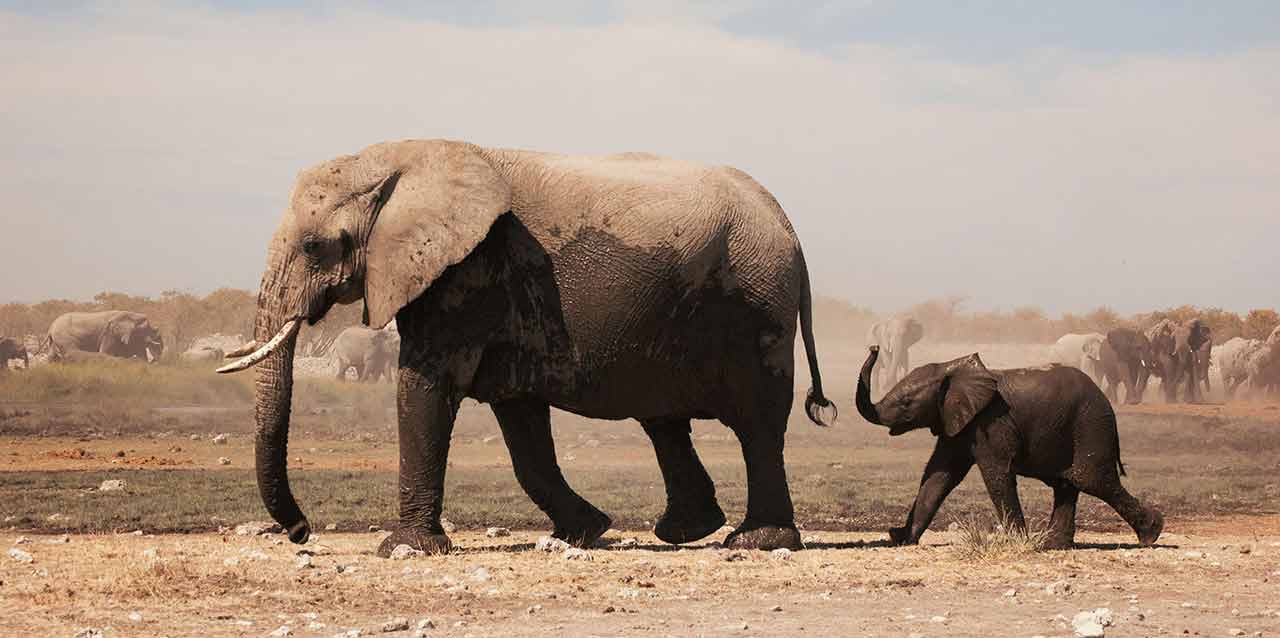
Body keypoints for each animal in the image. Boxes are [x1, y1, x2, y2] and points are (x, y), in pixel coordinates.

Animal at [216, 139, 835, 555]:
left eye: (316, 246)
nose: (301, 533)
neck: (398, 159)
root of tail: (786, 222)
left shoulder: (466, 274)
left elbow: (425, 388)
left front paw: (404, 550)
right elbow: (521, 426)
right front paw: (585, 532)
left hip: (756, 303)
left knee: (756, 423)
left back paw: (756, 542)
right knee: (663, 419)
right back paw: (686, 531)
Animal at [854, 346, 1164, 549]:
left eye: (905, 403)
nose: (874, 346)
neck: (950, 368)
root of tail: (1107, 401)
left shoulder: (992, 422)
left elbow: (995, 474)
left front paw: (1017, 542)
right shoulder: (959, 423)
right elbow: (939, 476)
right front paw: (903, 539)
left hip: (1091, 426)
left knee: (1093, 480)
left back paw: (1151, 534)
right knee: (1068, 483)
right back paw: (1052, 545)